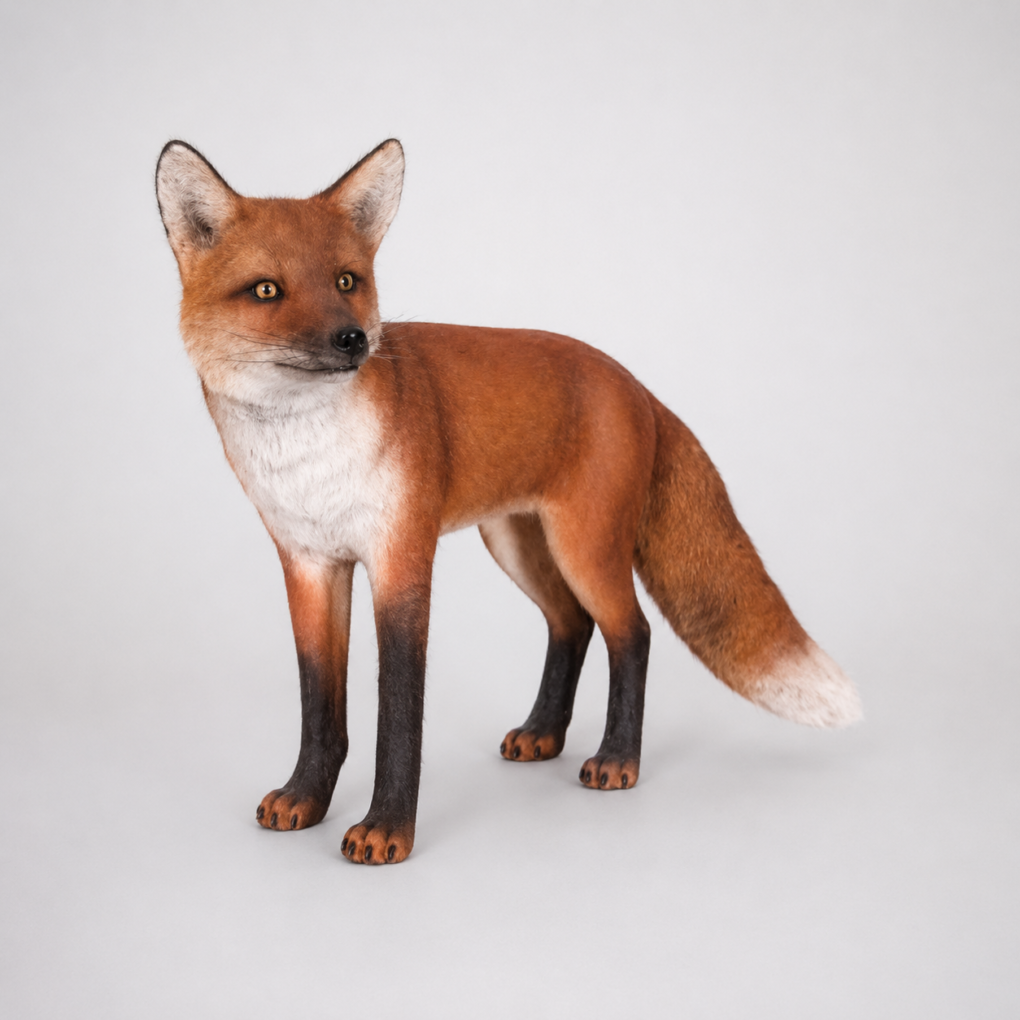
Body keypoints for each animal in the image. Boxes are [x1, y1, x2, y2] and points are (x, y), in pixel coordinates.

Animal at [155, 138, 861, 865]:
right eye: (267, 290)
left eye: (347, 282)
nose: (354, 340)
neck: (310, 462)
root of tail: (635, 383)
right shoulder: (308, 564)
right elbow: (320, 702)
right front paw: (307, 798)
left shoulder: (402, 559)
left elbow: (398, 713)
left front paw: (387, 828)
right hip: (517, 544)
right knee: (571, 625)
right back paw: (543, 733)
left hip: (584, 547)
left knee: (631, 633)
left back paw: (618, 758)